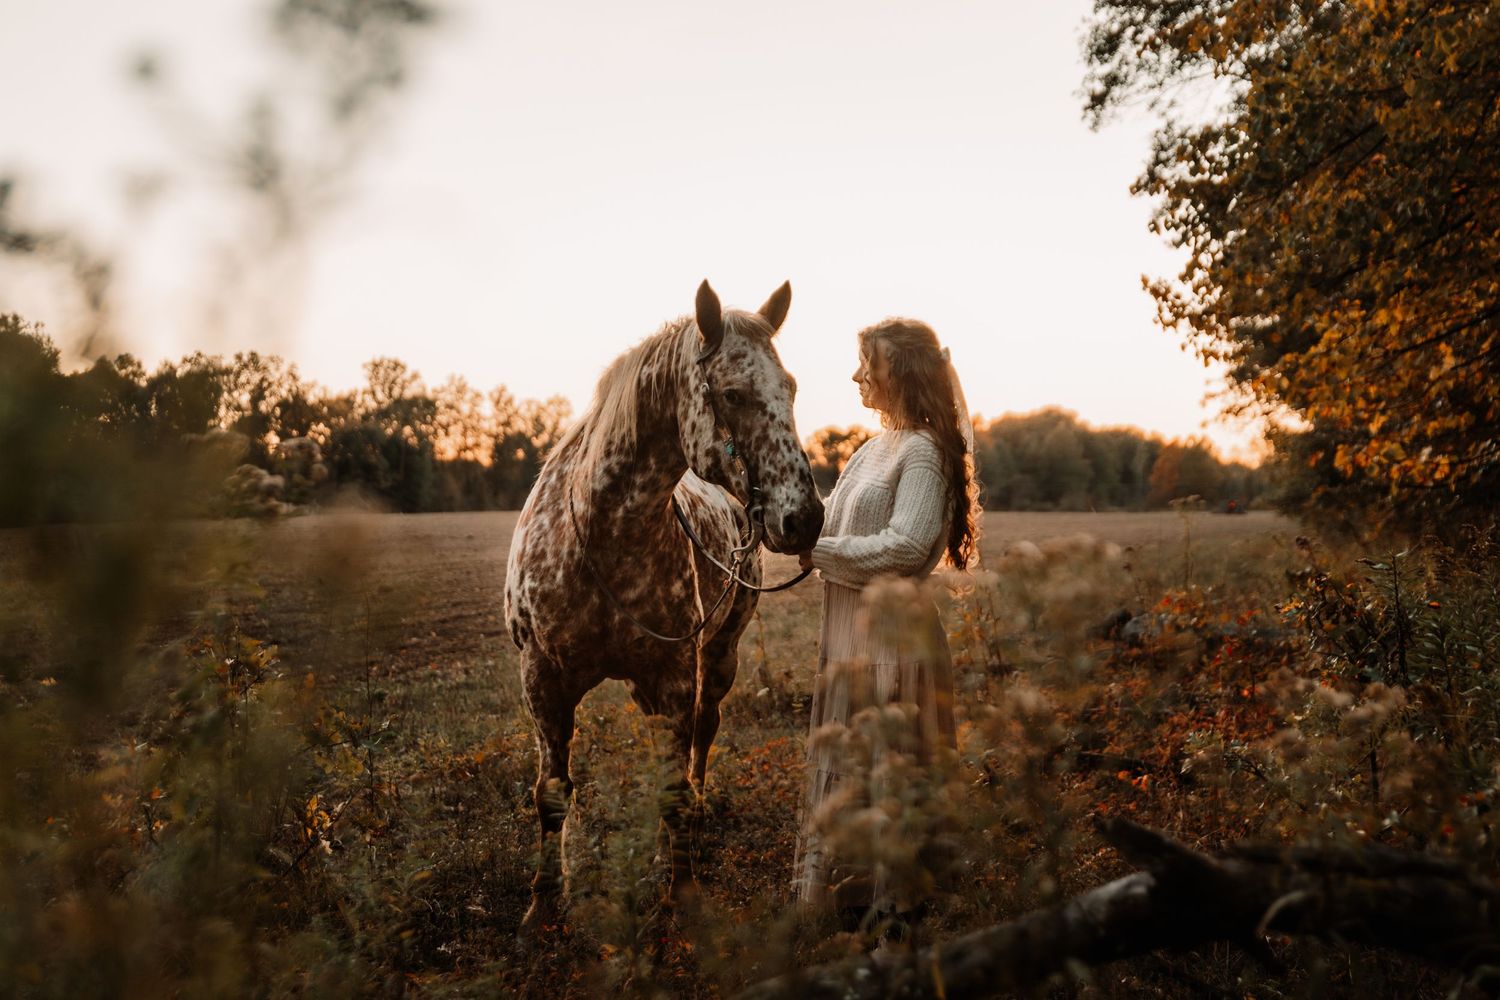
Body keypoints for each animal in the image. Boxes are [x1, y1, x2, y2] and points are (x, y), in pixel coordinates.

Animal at [504, 280, 824, 931]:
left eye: (792, 388)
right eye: (733, 394)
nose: (803, 518)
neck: (602, 532)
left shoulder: (675, 674)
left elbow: (674, 787)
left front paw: (682, 895)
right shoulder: (541, 680)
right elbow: (551, 794)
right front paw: (544, 904)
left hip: (718, 656)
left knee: (702, 735)